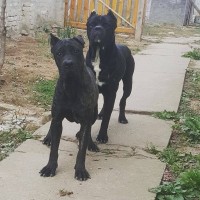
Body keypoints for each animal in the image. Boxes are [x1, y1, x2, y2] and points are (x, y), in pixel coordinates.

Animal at [40, 33, 99, 180]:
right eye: (59, 53)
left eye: (76, 51)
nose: (68, 63)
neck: (72, 85)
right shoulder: (57, 119)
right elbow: (54, 149)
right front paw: (50, 167)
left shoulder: (85, 121)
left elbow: (82, 150)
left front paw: (80, 170)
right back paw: (48, 137)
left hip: (94, 114)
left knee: (87, 132)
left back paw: (90, 143)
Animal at [85, 9, 134, 144]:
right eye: (91, 24)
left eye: (106, 25)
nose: (98, 28)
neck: (99, 55)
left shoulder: (111, 92)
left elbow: (107, 117)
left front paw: (102, 136)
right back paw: (100, 114)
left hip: (128, 84)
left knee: (122, 101)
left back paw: (122, 118)